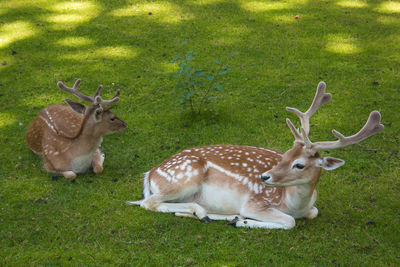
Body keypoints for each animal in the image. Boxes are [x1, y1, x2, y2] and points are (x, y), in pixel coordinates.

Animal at [126, 82, 382, 230]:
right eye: (285, 155)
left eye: (299, 164)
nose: (264, 177)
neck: (293, 204)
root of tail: (150, 174)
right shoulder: (254, 202)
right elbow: (289, 222)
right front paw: (244, 220)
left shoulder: (310, 208)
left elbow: (314, 212)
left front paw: (239, 220)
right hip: (184, 178)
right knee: (149, 202)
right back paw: (204, 212)